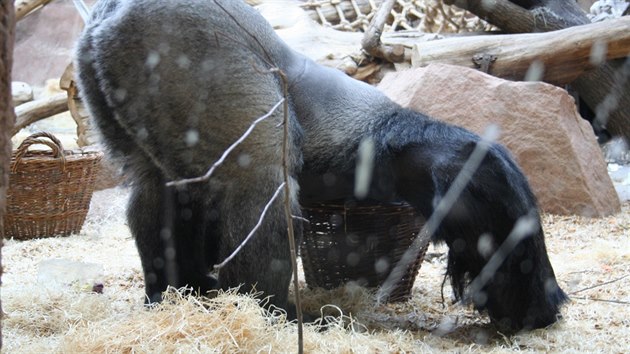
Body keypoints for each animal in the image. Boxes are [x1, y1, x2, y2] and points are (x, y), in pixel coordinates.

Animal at [76, 0, 572, 332]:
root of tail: (109, 14)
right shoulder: (459, 170)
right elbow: (500, 229)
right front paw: (528, 302)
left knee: (156, 186)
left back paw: (176, 290)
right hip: (182, 42)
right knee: (260, 184)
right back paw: (268, 309)